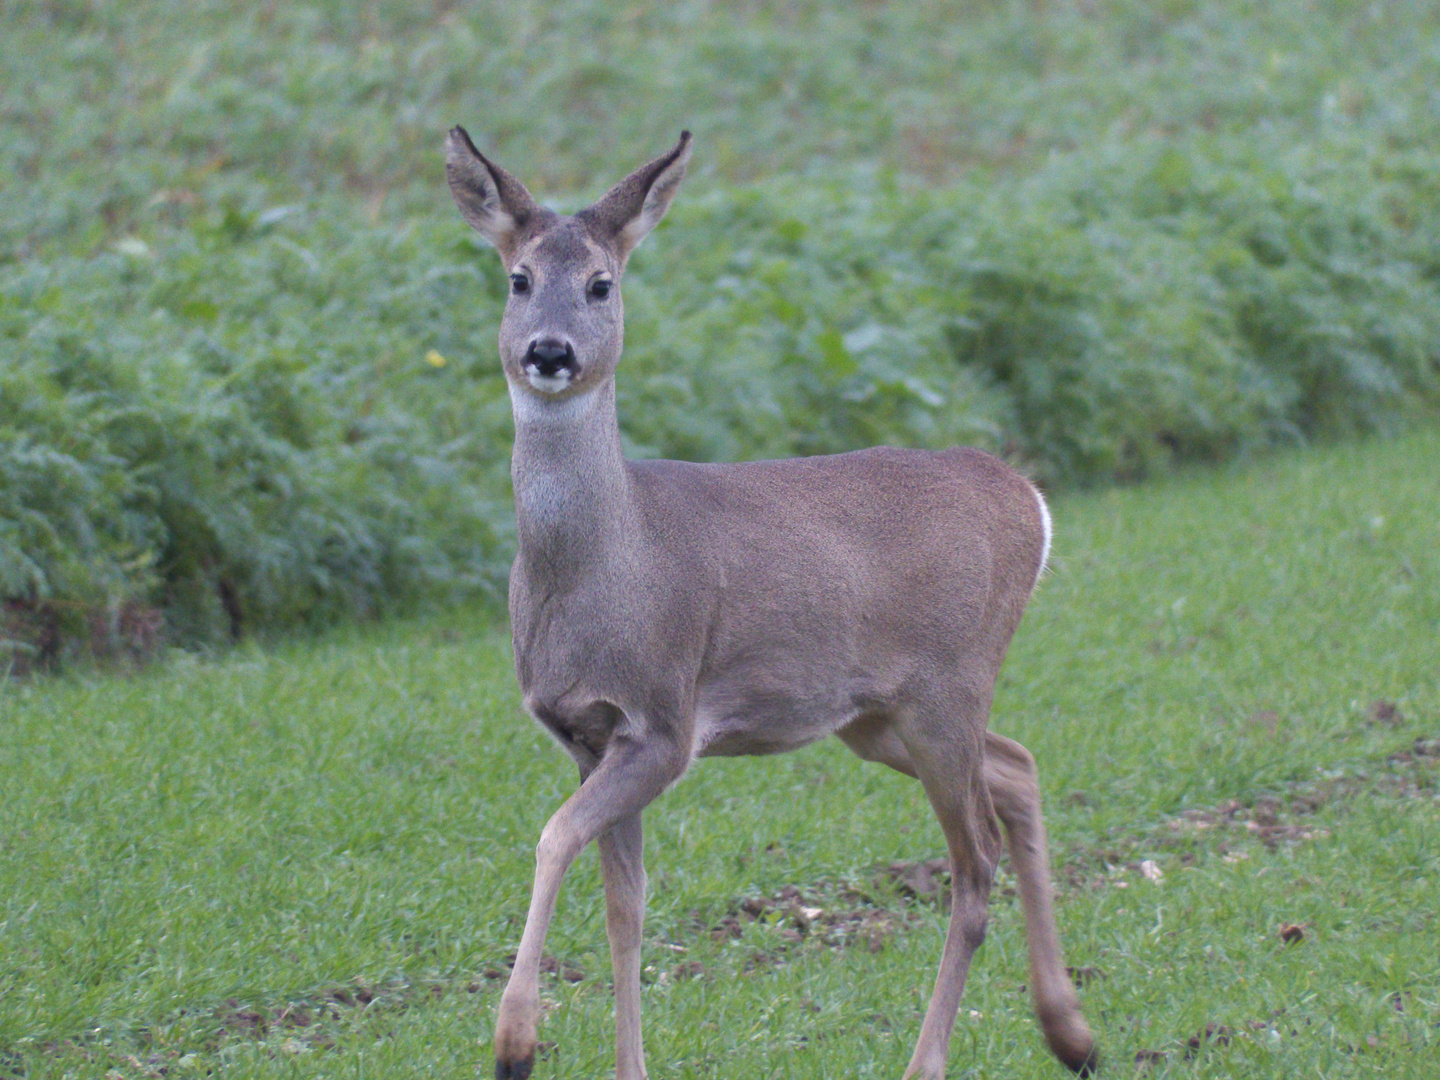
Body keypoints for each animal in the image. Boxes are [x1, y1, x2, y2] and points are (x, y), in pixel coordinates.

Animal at [443, 128, 1094, 1080]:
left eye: (602, 283)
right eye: (518, 279)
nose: (551, 352)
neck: (608, 566)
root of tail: (1028, 499)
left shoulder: (666, 721)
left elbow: (555, 838)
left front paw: (515, 1041)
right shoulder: (585, 735)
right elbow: (625, 906)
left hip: (949, 681)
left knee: (974, 865)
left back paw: (933, 1061)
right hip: (878, 713)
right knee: (1017, 767)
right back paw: (1071, 1033)